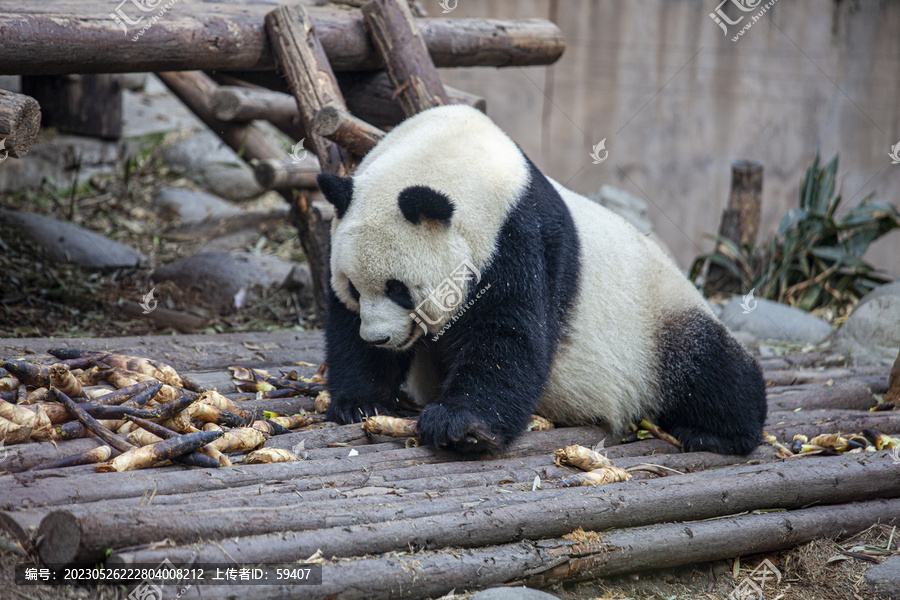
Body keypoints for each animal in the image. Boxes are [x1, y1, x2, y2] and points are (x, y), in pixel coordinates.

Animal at [316, 106, 768, 454]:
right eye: (354, 287)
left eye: (399, 289)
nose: (378, 338)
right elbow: (346, 330)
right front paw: (360, 403)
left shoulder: (518, 238)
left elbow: (509, 334)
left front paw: (461, 426)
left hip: (658, 314)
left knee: (708, 366)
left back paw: (717, 432)